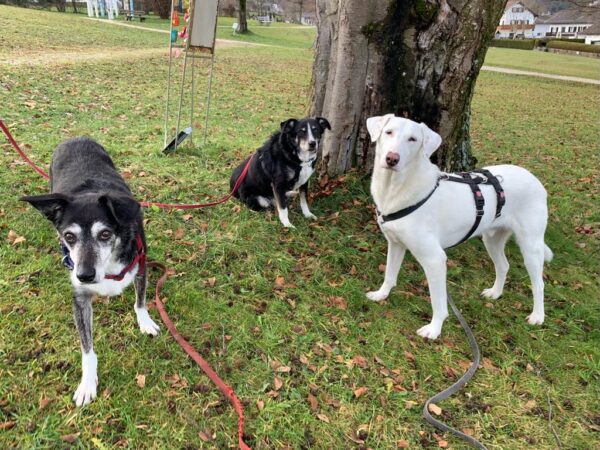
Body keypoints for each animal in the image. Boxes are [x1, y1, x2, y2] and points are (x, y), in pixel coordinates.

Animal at [21, 137, 159, 406]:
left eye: (105, 234)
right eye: (69, 236)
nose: (84, 275)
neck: (107, 266)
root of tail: (75, 137)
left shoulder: (141, 266)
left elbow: (140, 301)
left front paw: (145, 322)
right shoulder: (80, 298)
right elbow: (87, 349)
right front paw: (87, 383)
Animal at [365, 115, 552, 340]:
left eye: (413, 139)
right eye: (388, 132)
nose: (392, 158)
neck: (395, 189)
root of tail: (535, 179)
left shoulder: (435, 259)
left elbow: (438, 302)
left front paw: (434, 329)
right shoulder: (396, 244)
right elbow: (389, 275)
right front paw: (381, 295)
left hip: (531, 246)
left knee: (538, 283)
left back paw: (538, 316)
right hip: (492, 240)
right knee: (503, 266)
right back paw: (495, 293)